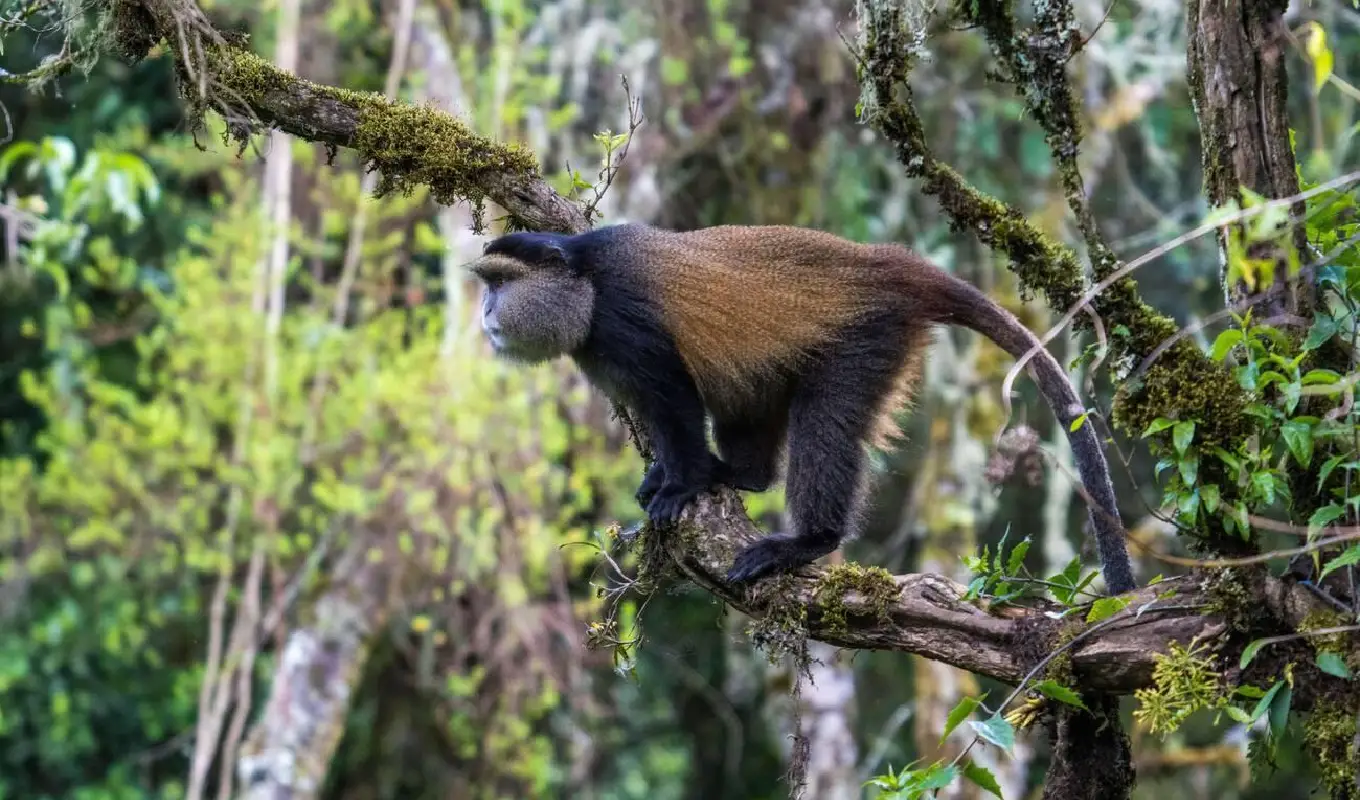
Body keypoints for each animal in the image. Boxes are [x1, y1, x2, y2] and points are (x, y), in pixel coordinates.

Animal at [467, 222, 1136, 594]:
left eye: (500, 283)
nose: (485, 313)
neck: (584, 278)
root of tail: (892, 263)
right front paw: (674, 475)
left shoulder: (625, 324)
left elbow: (673, 399)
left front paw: (681, 484)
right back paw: (741, 473)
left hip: (868, 340)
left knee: (827, 426)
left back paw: (808, 540)